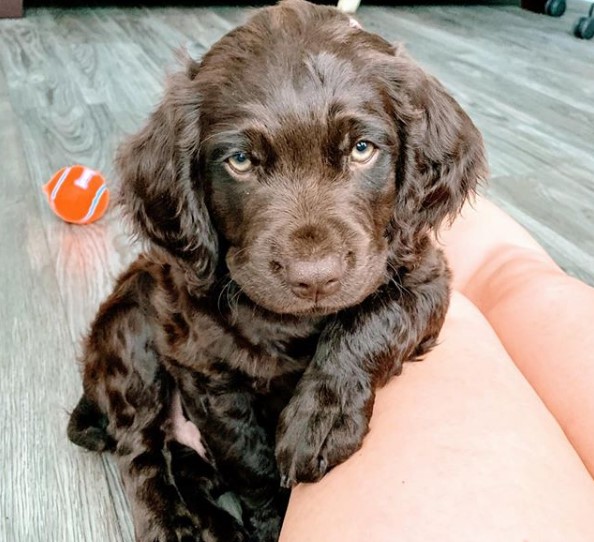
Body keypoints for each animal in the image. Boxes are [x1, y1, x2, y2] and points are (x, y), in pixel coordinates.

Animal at [68, 1, 486, 542]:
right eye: (241, 161)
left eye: (362, 149)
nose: (314, 277)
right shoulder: (206, 373)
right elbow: (250, 465)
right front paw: (273, 521)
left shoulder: (425, 273)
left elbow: (376, 318)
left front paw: (322, 418)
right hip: (130, 334)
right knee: (141, 452)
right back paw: (172, 524)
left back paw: (217, 524)